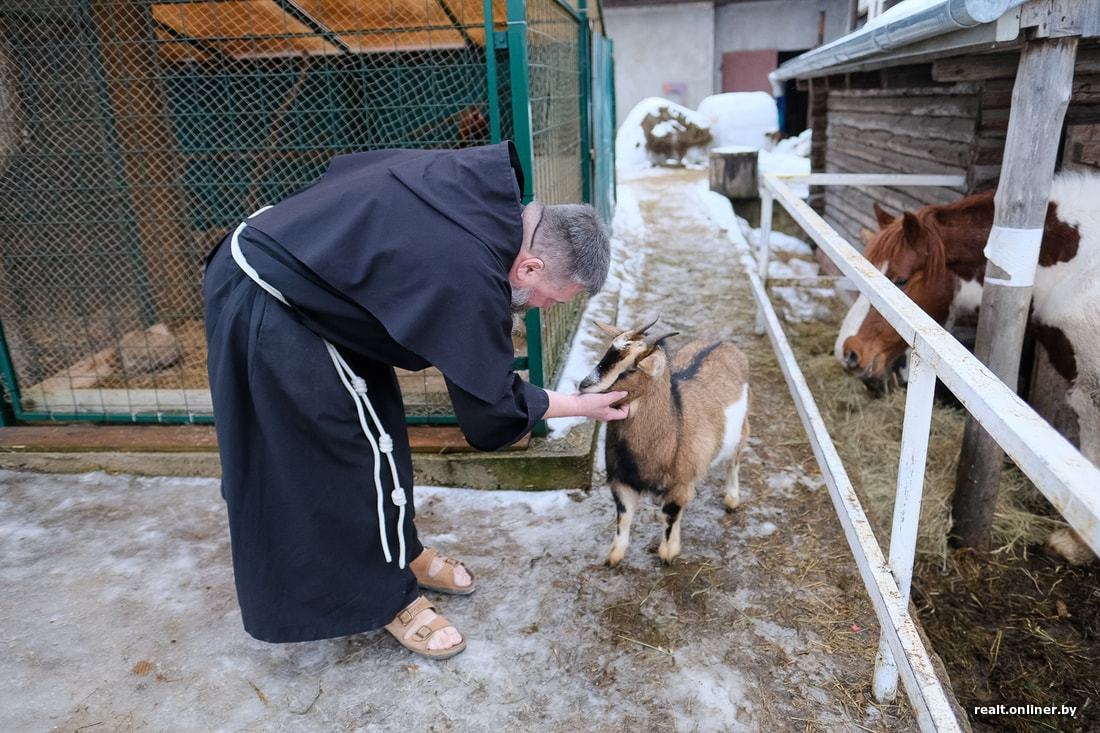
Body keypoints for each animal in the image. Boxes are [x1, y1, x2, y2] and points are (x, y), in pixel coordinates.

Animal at [576, 314, 748, 563]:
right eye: (606, 353)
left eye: (631, 369)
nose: (584, 385)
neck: (674, 426)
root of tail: (722, 342)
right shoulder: (621, 481)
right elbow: (623, 516)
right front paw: (614, 555)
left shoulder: (679, 484)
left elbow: (671, 515)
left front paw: (668, 552)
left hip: (743, 430)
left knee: (733, 462)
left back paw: (732, 499)